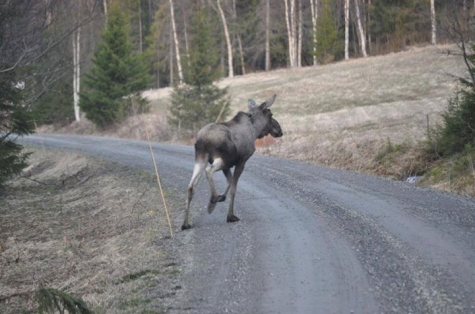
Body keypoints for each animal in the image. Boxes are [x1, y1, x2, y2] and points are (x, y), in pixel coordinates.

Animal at [182, 94, 282, 229]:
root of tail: (203, 139)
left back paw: (185, 223)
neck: (255, 130)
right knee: (209, 171)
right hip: (223, 158)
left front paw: (222, 197)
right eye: (270, 114)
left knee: (191, 186)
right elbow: (234, 188)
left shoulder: (228, 166)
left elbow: (229, 182)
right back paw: (213, 200)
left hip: (201, 158)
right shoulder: (241, 161)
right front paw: (230, 216)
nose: (279, 130)